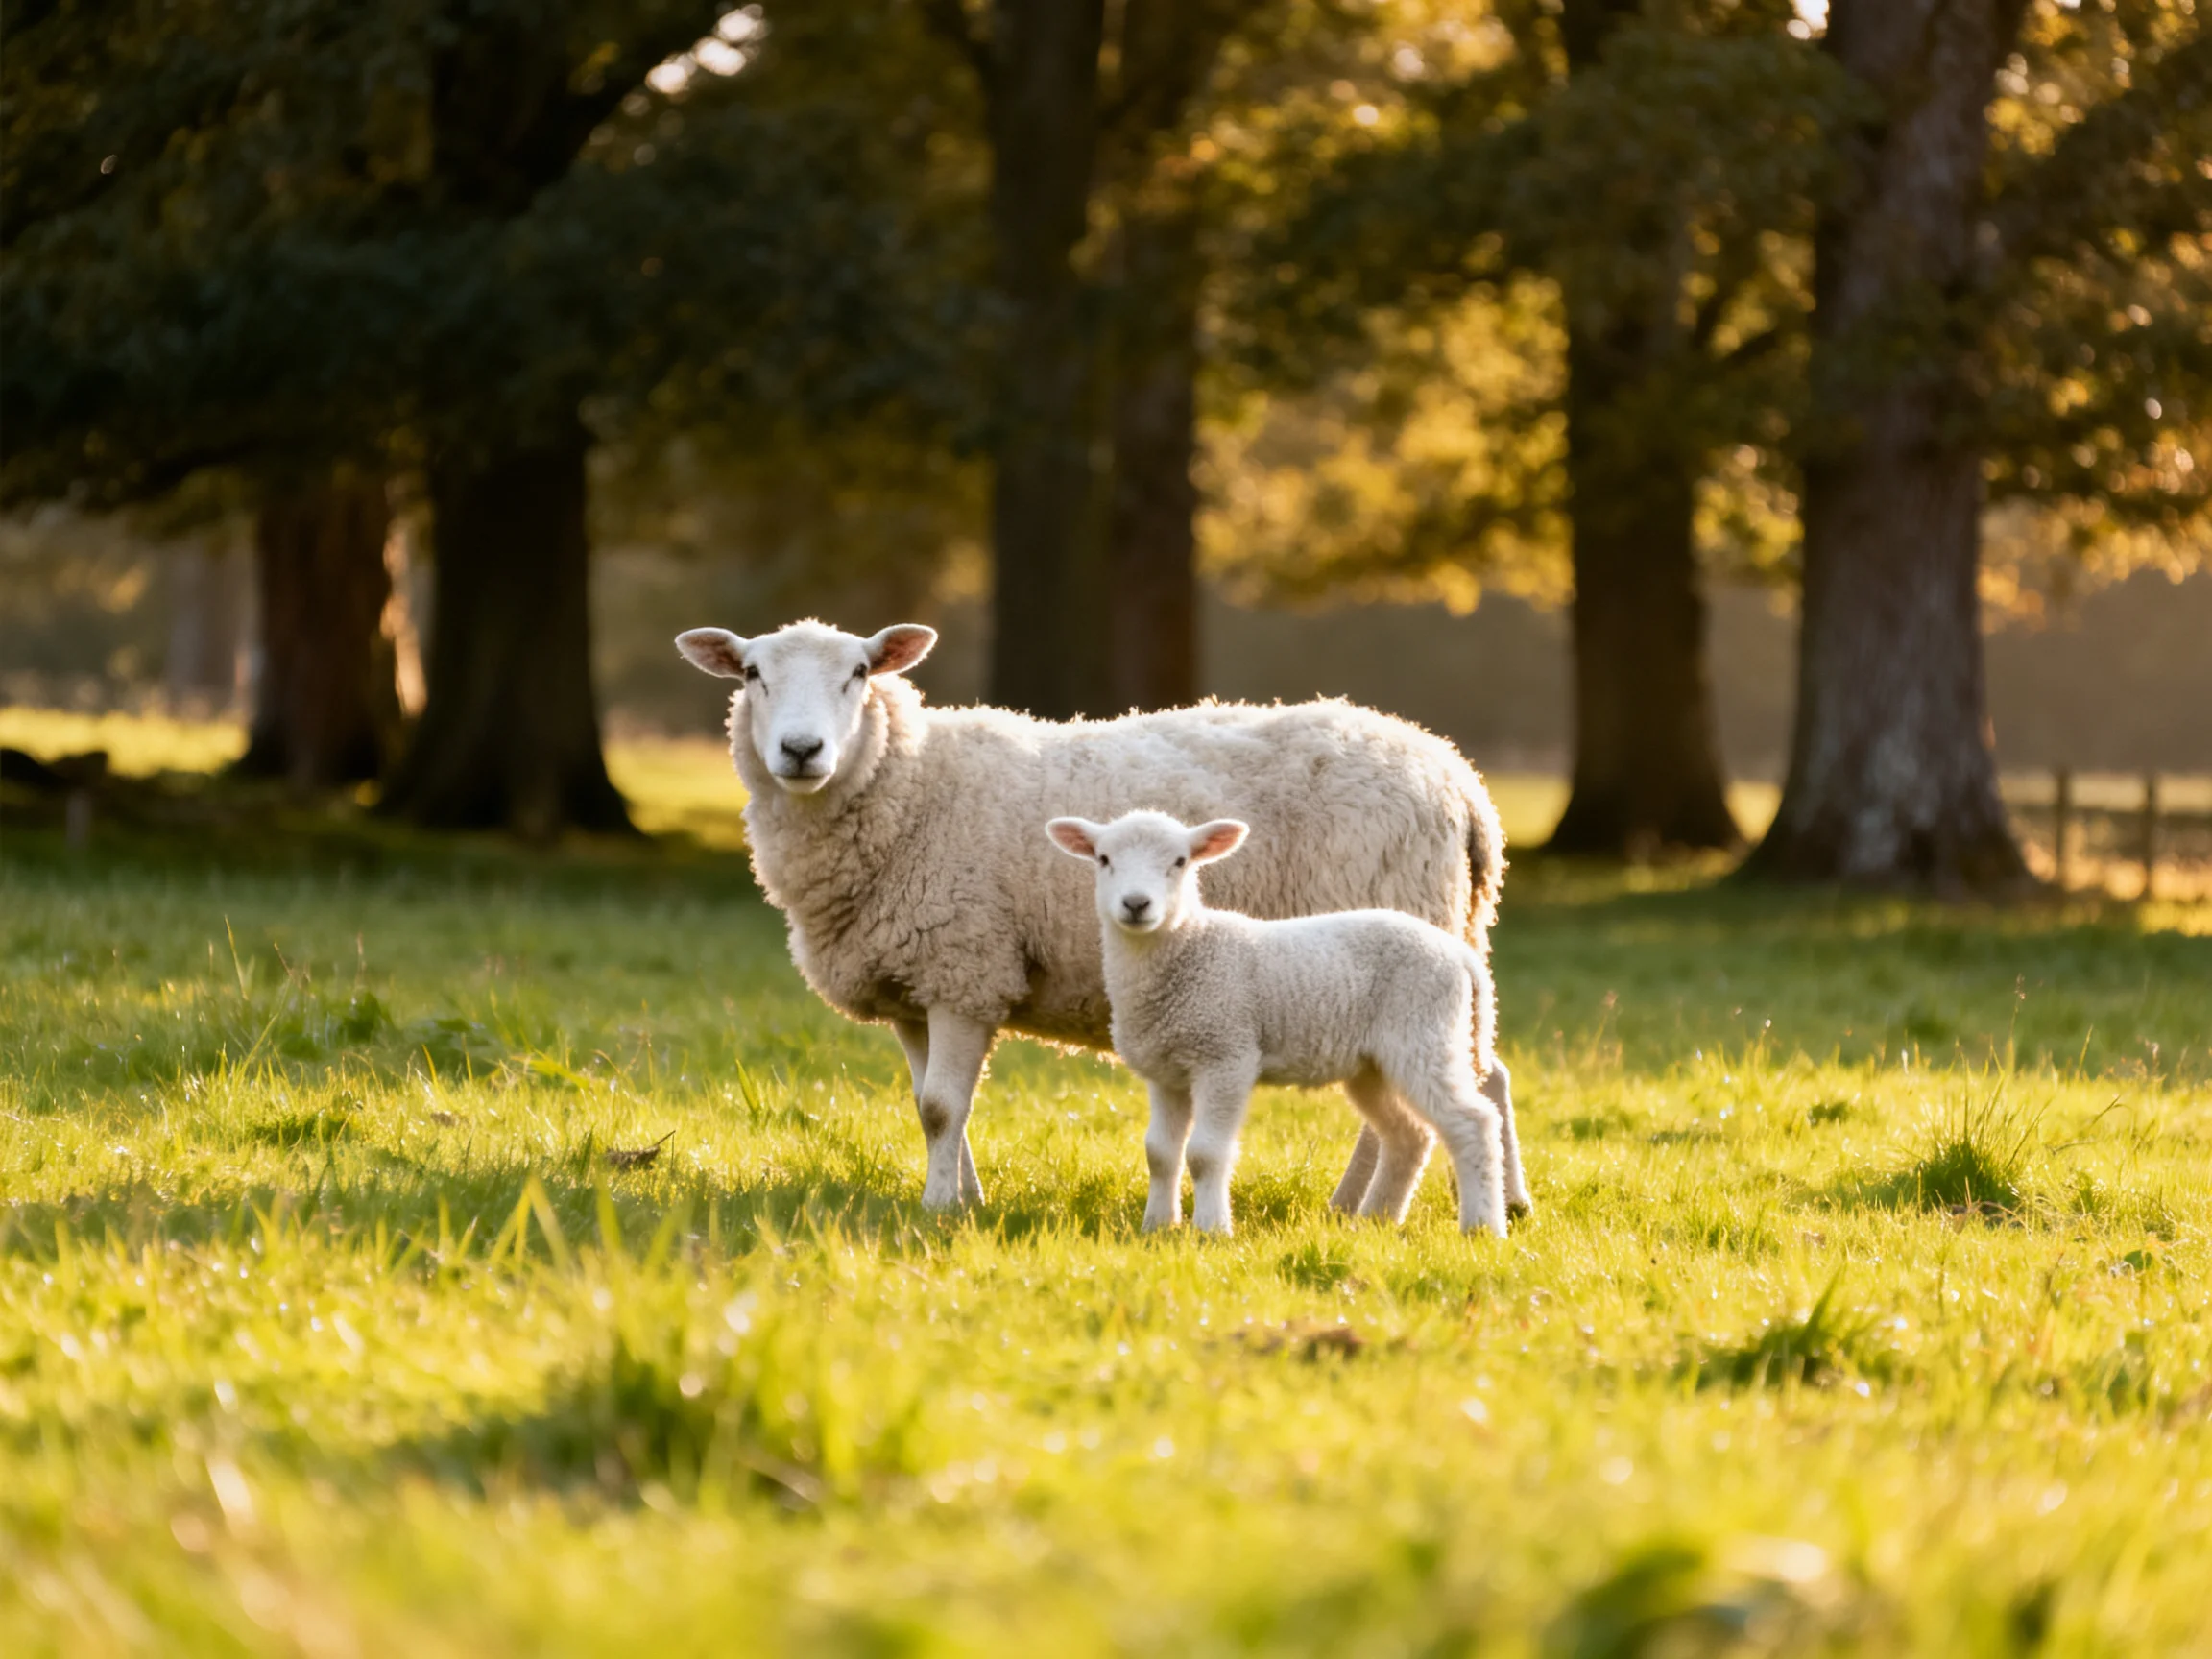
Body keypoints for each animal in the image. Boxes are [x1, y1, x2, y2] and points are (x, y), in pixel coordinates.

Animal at [1047, 810, 1508, 1239]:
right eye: (1104, 859)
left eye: (1180, 861)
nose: (1136, 904)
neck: (1190, 948)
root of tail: (1459, 954)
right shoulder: (1166, 1072)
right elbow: (1160, 1153)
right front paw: (1157, 1227)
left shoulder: (1226, 1054)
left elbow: (1205, 1154)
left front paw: (1212, 1229)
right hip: (1374, 1064)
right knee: (1409, 1135)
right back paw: (1375, 1220)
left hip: (1423, 1032)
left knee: (1473, 1124)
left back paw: (1483, 1226)